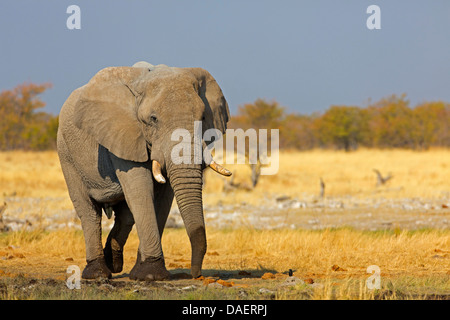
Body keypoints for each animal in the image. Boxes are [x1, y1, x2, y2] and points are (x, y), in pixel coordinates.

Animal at [57, 62, 232, 280]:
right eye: (153, 119)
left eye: (202, 117)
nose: (196, 274)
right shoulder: (123, 133)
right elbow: (141, 189)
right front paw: (151, 274)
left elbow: (163, 198)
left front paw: (142, 272)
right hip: (66, 153)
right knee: (89, 211)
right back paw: (97, 273)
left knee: (126, 215)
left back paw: (113, 262)